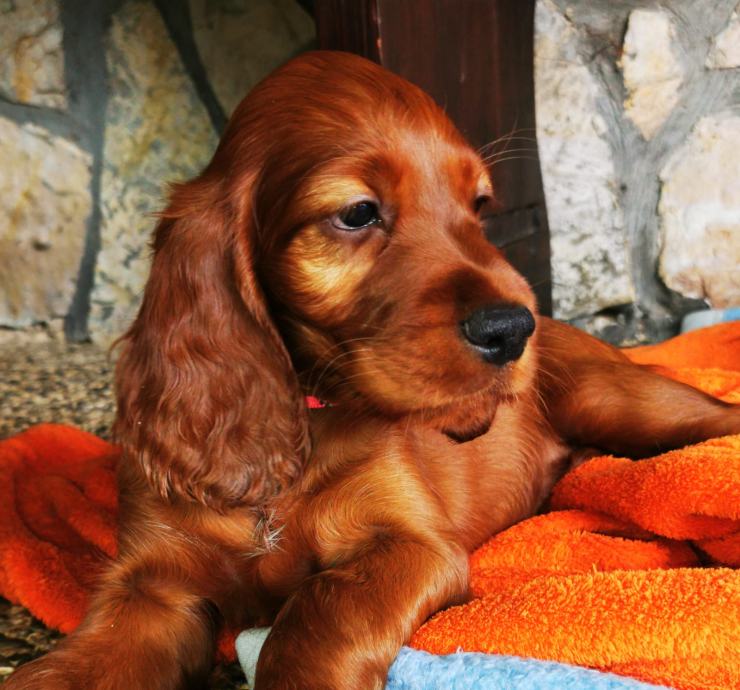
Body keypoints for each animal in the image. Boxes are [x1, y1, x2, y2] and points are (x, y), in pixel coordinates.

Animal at [7, 51, 740, 690]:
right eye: (358, 212)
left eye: (478, 206)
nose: (512, 328)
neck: (302, 421)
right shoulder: (151, 583)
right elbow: (85, 661)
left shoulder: (409, 546)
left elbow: (319, 613)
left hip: (617, 400)